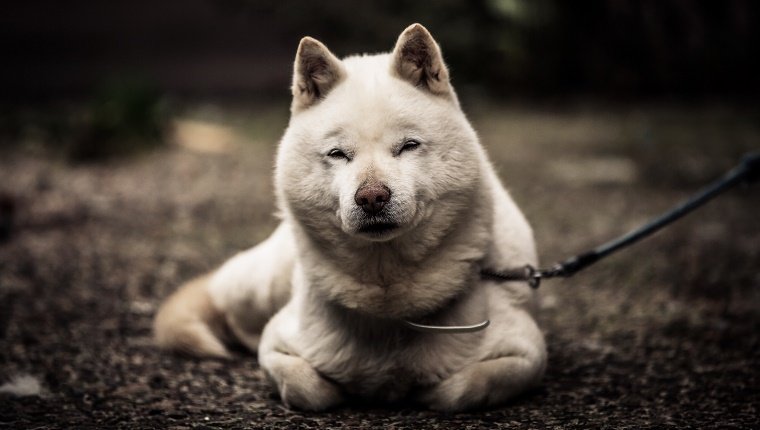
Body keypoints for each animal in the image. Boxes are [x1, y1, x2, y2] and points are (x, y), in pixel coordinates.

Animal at [154, 22, 548, 410]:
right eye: (338, 153)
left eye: (408, 146)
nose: (372, 198)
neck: (388, 299)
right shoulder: (277, 344)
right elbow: (306, 388)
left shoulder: (527, 354)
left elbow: (462, 389)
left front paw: (421, 391)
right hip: (257, 287)